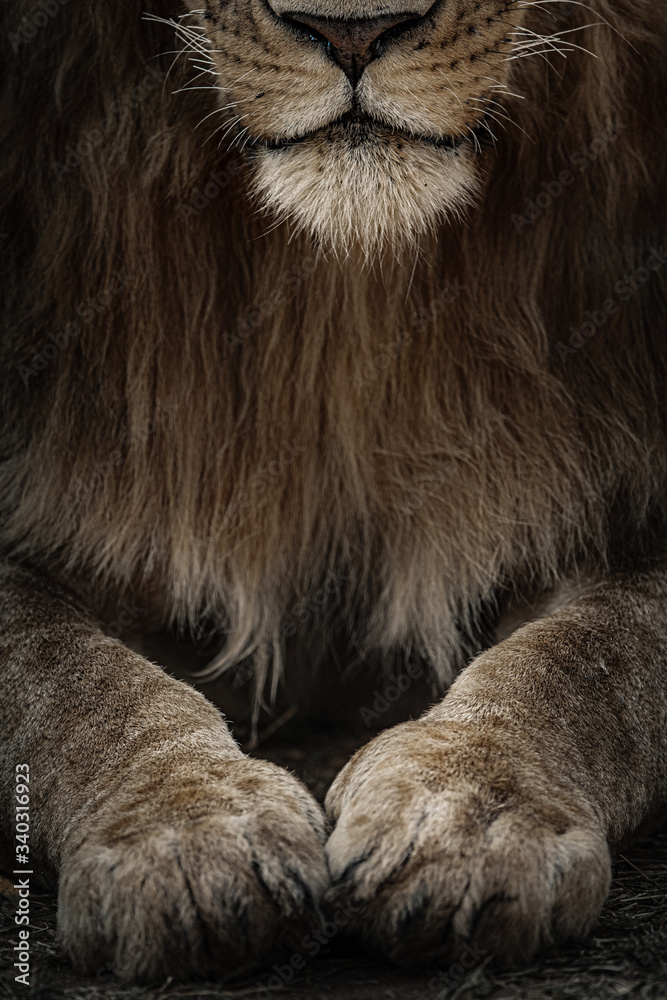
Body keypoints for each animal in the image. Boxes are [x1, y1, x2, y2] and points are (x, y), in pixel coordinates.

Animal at [0, 0, 666, 985]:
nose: (352, 33)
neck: (344, 280)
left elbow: (591, 655)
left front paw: (461, 814)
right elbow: (65, 674)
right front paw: (187, 831)